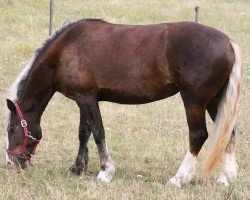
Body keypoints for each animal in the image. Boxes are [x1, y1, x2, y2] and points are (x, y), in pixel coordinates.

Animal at [4, 18, 242, 188]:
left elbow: (98, 133)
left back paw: (179, 178)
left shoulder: (87, 99)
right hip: (215, 101)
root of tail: (227, 42)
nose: (10, 165)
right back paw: (226, 178)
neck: (66, 49)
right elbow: (83, 133)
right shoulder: (83, 99)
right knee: (228, 133)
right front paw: (78, 168)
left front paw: (105, 172)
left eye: (11, 129)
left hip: (194, 101)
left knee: (198, 135)